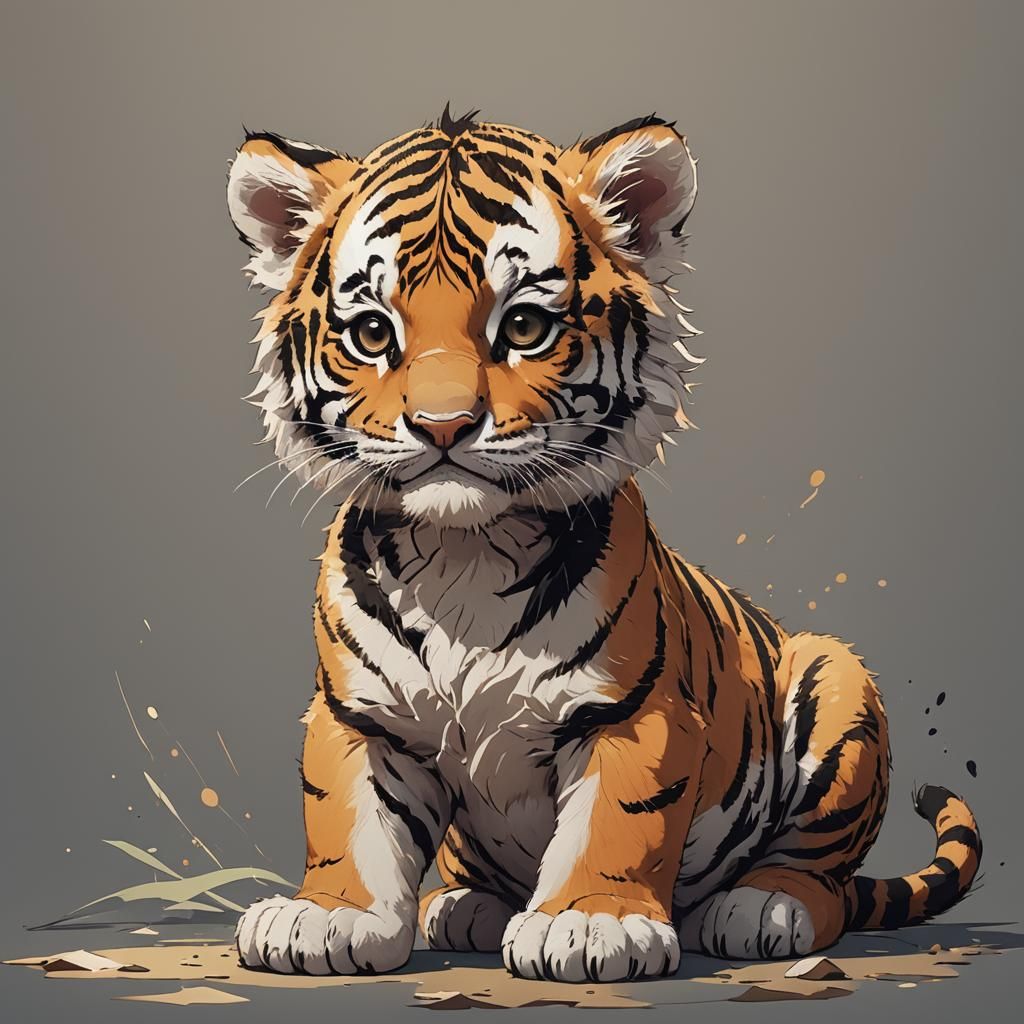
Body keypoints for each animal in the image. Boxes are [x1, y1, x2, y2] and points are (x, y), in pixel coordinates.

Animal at [226, 107, 981, 983]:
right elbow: (345, 819)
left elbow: (617, 819)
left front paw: (590, 925)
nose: (443, 427)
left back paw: (763, 906)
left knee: (821, 876)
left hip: (839, 682)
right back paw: (467, 906)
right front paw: (326, 916)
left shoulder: (631, 713)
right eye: (373, 333)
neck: (465, 555)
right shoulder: (358, 715)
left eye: (523, 325)